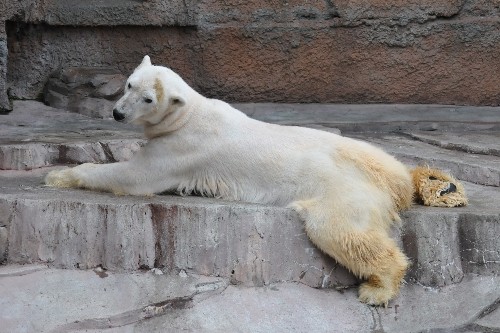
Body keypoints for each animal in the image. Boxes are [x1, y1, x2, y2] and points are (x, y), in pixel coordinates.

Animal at [45, 55, 466, 304]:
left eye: (149, 99)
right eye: (131, 84)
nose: (117, 113)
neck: (188, 114)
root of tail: (389, 187)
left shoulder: (181, 148)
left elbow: (134, 174)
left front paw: (59, 175)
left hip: (342, 193)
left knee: (342, 231)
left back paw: (377, 288)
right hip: (367, 155)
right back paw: (433, 182)